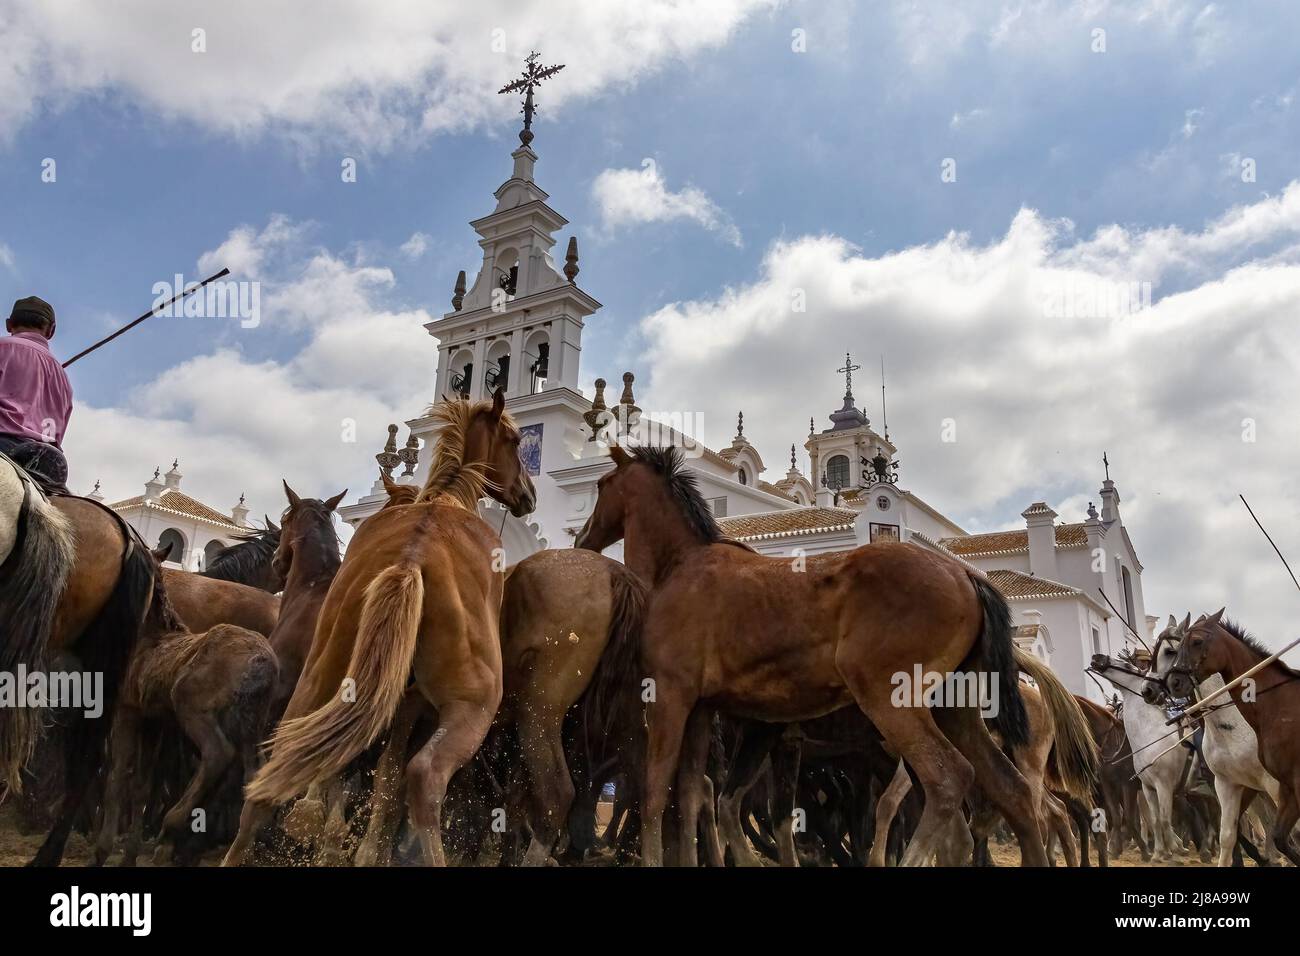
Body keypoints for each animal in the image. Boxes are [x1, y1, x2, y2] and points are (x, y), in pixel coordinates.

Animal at [92, 546, 278, 868]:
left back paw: (171, 826)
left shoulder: (128, 710)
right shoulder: (155, 719)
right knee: (255, 775)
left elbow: (117, 776)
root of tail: (263, 664)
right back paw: (235, 850)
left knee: (218, 753)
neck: (150, 634)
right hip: (250, 726)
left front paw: (103, 850)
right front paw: (129, 855)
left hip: (193, 708)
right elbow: (141, 785)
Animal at [223, 390, 533, 868]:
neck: (446, 497)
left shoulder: (400, 703)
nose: (528, 493)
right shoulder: (414, 704)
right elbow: (391, 777)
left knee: (275, 769)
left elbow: (384, 777)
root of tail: (412, 557)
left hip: (318, 681)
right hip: (475, 703)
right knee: (425, 777)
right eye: (515, 441)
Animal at [577, 447, 1045, 868]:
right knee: (1014, 791)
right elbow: (693, 793)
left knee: (948, 780)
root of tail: (965, 574)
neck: (680, 566)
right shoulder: (702, 709)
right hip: (953, 709)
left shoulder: (670, 696)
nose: (583, 538)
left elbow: (656, 789)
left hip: (892, 703)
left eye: (602, 485)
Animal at [1086, 655, 1190, 863]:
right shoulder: (1139, 786)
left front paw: (1164, 851)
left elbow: (1152, 818)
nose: (1097, 657)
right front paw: (1158, 852)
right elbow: (1147, 818)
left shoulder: (1149, 785)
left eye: (1126, 664)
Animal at [1170, 613, 1300, 868]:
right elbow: (1265, 836)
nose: (1174, 682)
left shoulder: (1286, 783)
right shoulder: (1246, 784)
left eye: (1197, 641)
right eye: (1178, 647)